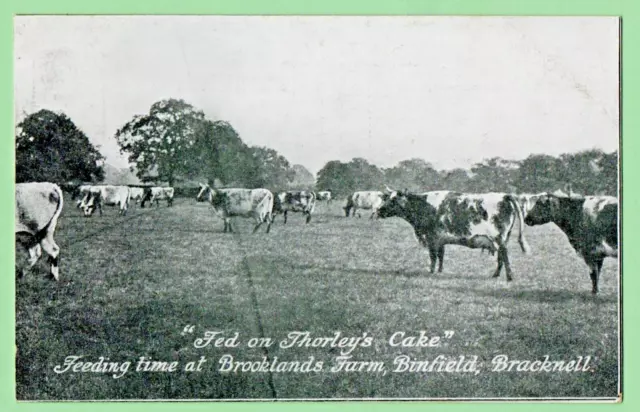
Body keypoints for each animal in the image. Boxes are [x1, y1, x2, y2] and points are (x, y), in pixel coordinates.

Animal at [376, 190, 528, 280]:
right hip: (504, 237)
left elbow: (433, 256)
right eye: (386, 198)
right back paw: (495, 275)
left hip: (499, 237)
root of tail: (504, 195)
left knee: (504, 254)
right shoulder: (440, 239)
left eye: (393, 200)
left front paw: (431, 271)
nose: (378, 210)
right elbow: (441, 255)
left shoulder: (431, 237)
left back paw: (509, 277)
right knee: (501, 256)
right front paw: (439, 271)